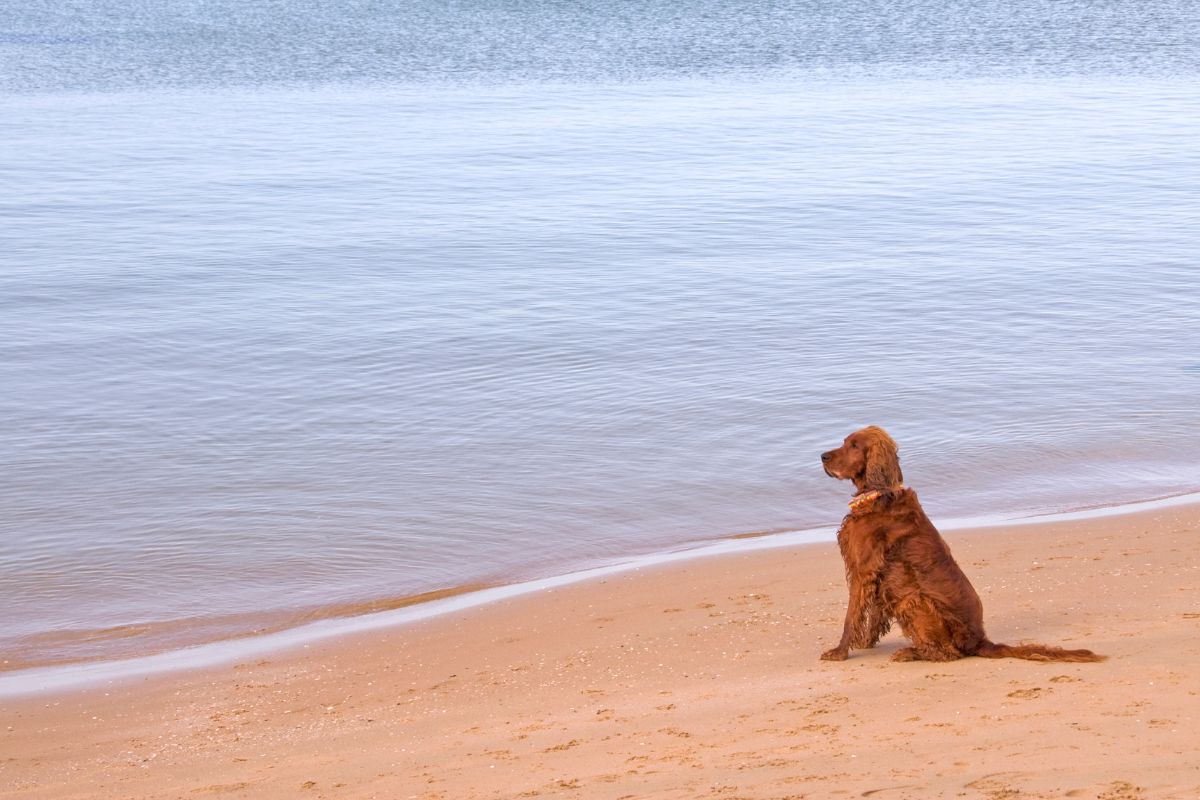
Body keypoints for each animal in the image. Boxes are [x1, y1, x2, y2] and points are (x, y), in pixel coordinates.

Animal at [816, 429, 1104, 666]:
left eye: (854, 445)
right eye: (844, 442)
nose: (823, 456)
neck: (879, 496)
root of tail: (980, 640)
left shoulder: (863, 569)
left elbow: (850, 616)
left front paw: (839, 651)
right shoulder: (878, 574)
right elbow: (873, 612)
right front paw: (866, 642)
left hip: (914, 599)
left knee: (948, 653)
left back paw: (912, 652)